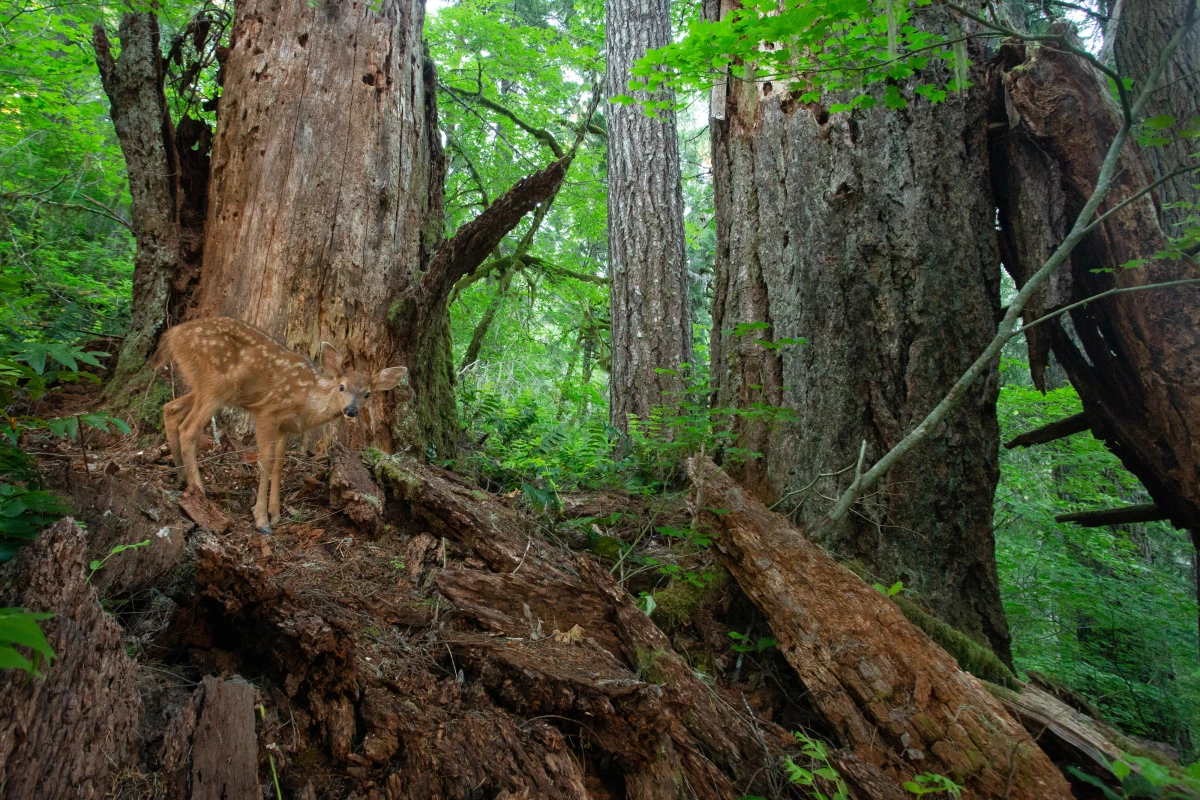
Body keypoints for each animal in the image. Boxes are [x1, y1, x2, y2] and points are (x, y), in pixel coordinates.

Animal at [153, 317, 407, 533]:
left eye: (367, 394)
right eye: (342, 387)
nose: (351, 411)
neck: (306, 401)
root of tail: (173, 334)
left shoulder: (285, 426)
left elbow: (279, 463)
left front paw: (274, 513)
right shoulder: (267, 412)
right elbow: (265, 461)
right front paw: (261, 520)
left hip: (203, 384)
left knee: (171, 409)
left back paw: (181, 477)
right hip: (216, 384)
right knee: (188, 428)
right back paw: (199, 491)